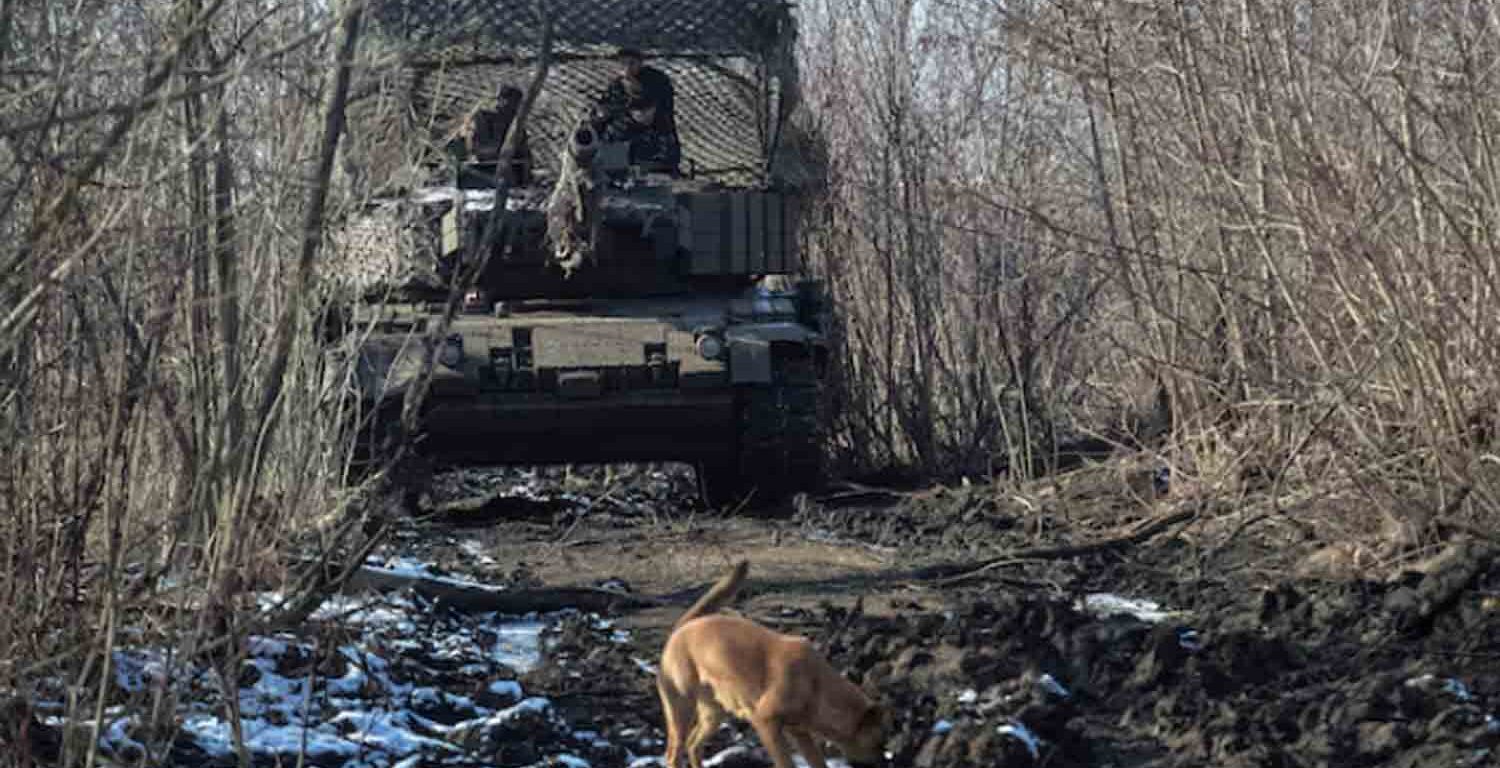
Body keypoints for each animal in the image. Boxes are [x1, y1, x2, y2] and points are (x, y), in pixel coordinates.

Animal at [660, 561, 888, 765]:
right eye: (878, 744)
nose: (885, 762)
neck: (816, 685)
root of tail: (682, 628)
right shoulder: (767, 724)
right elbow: (785, 763)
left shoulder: (800, 734)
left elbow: (818, 762)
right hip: (681, 710)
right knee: (674, 753)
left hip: (714, 713)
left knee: (693, 745)